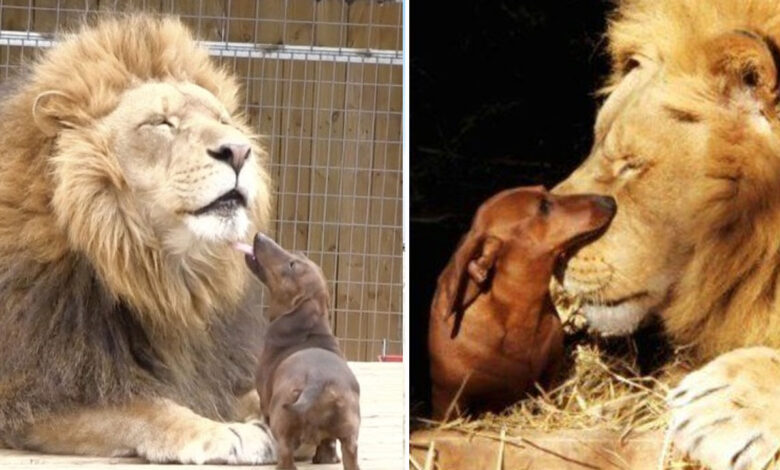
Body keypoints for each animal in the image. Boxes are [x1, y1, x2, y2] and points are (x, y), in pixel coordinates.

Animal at [0, 13, 278, 462]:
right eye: (161, 123)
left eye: (224, 122)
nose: (238, 151)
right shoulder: (33, 391)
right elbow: (145, 408)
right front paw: (225, 432)